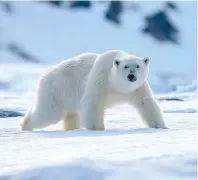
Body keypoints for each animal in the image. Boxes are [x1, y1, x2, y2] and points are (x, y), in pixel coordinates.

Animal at [20, 50, 166, 131]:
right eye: (125, 66)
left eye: (138, 66)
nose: (131, 76)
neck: (118, 86)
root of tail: (44, 76)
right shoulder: (101, 79)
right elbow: (93, 103)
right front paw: (98, 128)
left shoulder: (138, 88)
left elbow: (146, 103)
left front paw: (161, 126)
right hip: (57, 90)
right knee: (49, 114)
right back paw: (25, 125)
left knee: (71, 115)